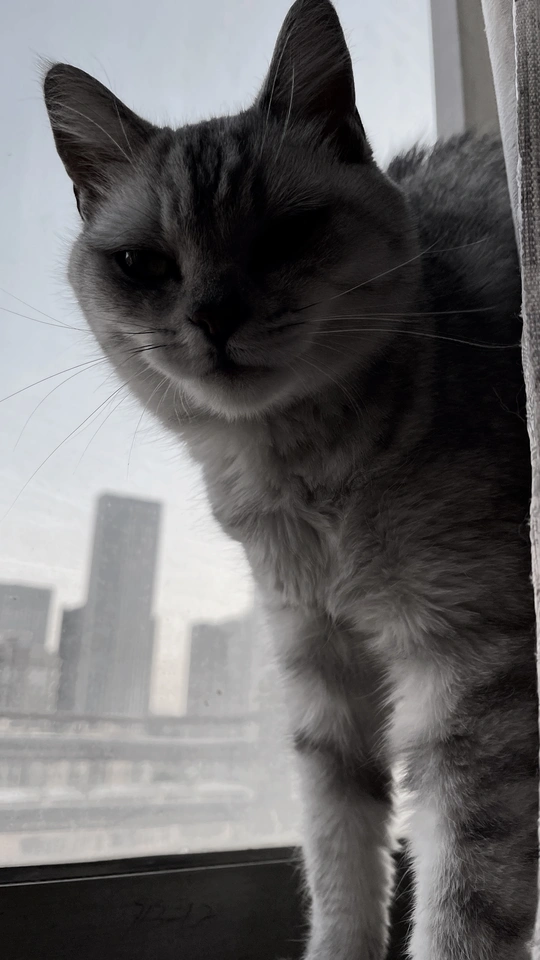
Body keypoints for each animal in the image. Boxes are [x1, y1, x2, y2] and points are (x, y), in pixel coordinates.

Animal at [43, 0, 538, 957]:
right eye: (143, 264)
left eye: (285, 231)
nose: (214, 316)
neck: (301, 484)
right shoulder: (320, 664)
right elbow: (339, 853)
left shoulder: (475, 666)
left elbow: (465, 898)